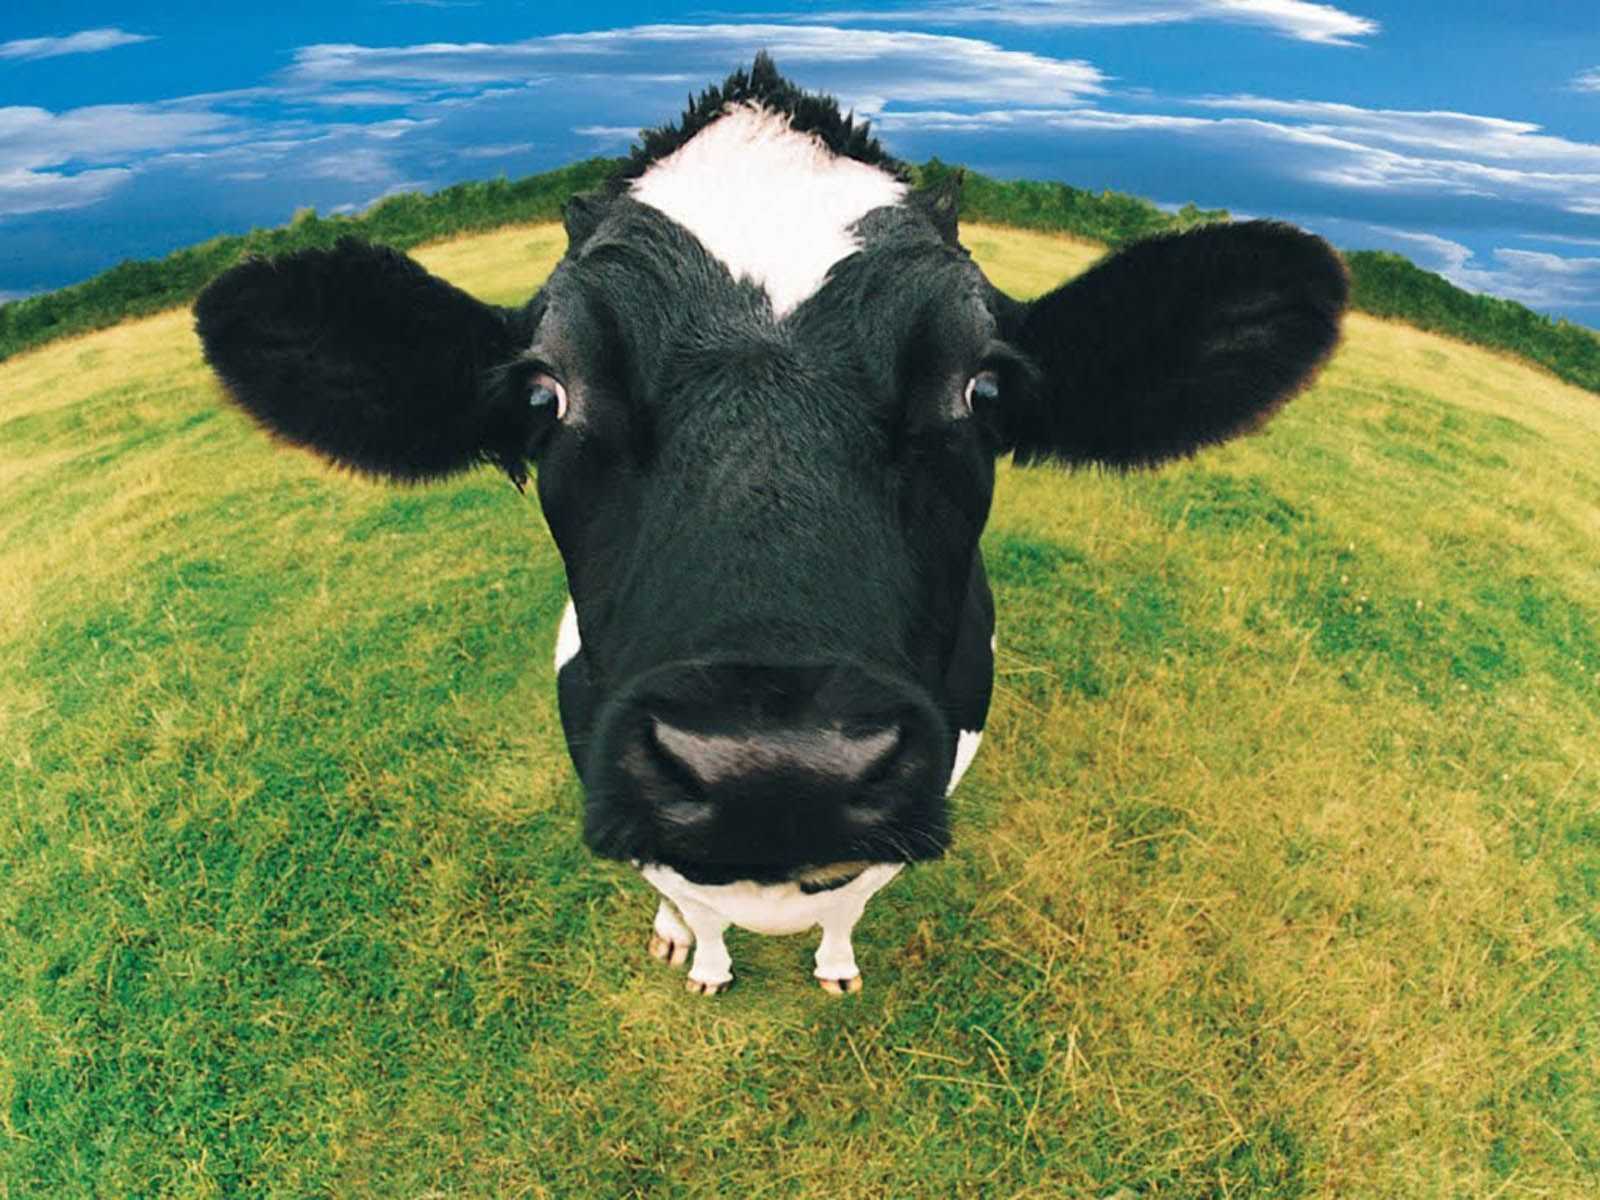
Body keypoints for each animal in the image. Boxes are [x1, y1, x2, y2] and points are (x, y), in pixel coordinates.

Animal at [194, 55, 1346, 995]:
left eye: (981, 389)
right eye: (544, 395)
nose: (772, 769)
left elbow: (850, 898)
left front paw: (832, 964)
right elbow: (692, 899)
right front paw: (702, 958)